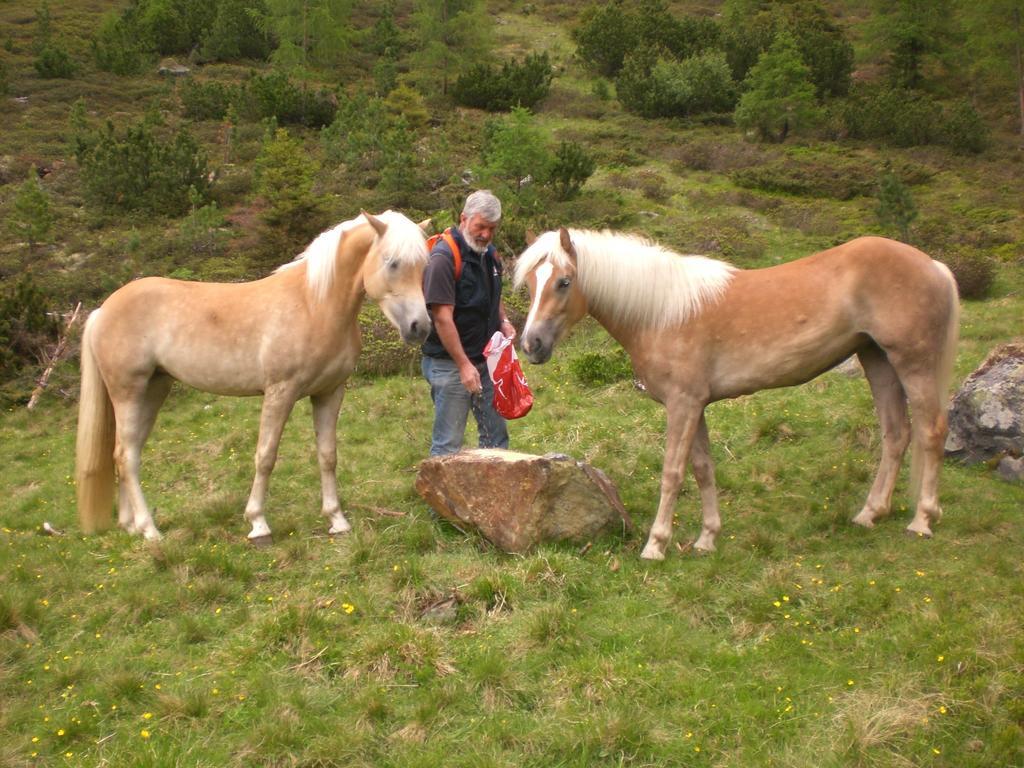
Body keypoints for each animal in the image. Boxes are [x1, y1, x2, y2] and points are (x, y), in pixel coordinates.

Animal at [76, 210, 432, 544]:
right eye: (392, 262)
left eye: (424, 265)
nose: (420, 327)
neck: (314, 305)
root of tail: (102, 310)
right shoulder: (280, 392)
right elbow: (266, 456)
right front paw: (258, 524)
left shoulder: (330, 392)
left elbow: (328, 456)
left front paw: (337, 519)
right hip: (128, 391)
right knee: (126, 456)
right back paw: (150, 530)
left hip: (154, 389)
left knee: (128, 452)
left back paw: (132, 526)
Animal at [516, 228, 962, 561]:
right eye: (532, 283)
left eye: (564, 282)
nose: (531, 344)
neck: (663, 312)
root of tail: (934, 266)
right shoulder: (696, 405)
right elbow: (702, 468)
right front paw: (706, 539)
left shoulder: (682, 404)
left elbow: (672, 472)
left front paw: (656, 545)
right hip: (877, 360)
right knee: (896, 435)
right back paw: (870, 514)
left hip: (913, 363)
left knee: (931, 432)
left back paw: (922, 520)